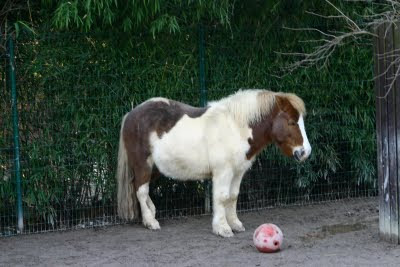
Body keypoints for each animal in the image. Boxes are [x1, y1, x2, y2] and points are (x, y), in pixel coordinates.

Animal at [117, 90, 310, 239]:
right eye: (292, 122)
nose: (305, 152)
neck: (236, 128)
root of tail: (131, 114)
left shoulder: (238, 172)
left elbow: (233, 196)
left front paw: (235, 224)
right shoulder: (223, 172)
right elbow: (222, 197)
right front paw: (222, 228)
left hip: (155, 168)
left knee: (141, 188)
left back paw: (150, 214)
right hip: (143, 165)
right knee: (141, 190)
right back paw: (150, 221)